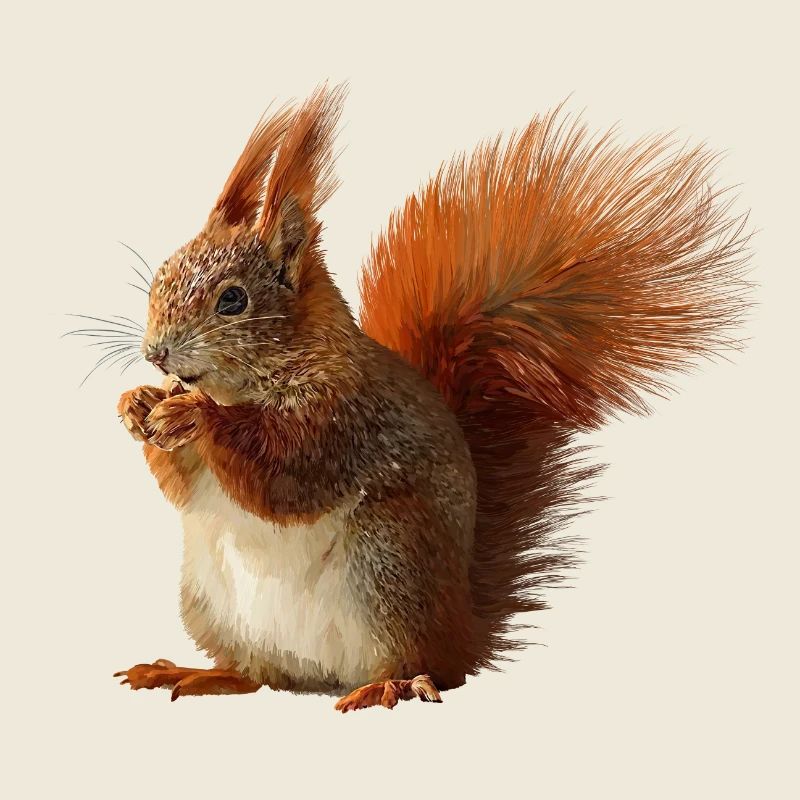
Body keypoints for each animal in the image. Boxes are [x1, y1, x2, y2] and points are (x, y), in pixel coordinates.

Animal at [110, 85, 750, 711]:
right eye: (162, 273)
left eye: (233, 300)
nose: (155, 353)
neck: (248, 385)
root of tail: (462, 627)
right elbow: (183, 487)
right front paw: (137, 403)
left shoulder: (343, 419)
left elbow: (283, 474)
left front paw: (194, 414)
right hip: (211, 600)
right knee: (259, 674)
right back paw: (197, 672)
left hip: (389, 561)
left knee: (427, 667)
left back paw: (389, 686)